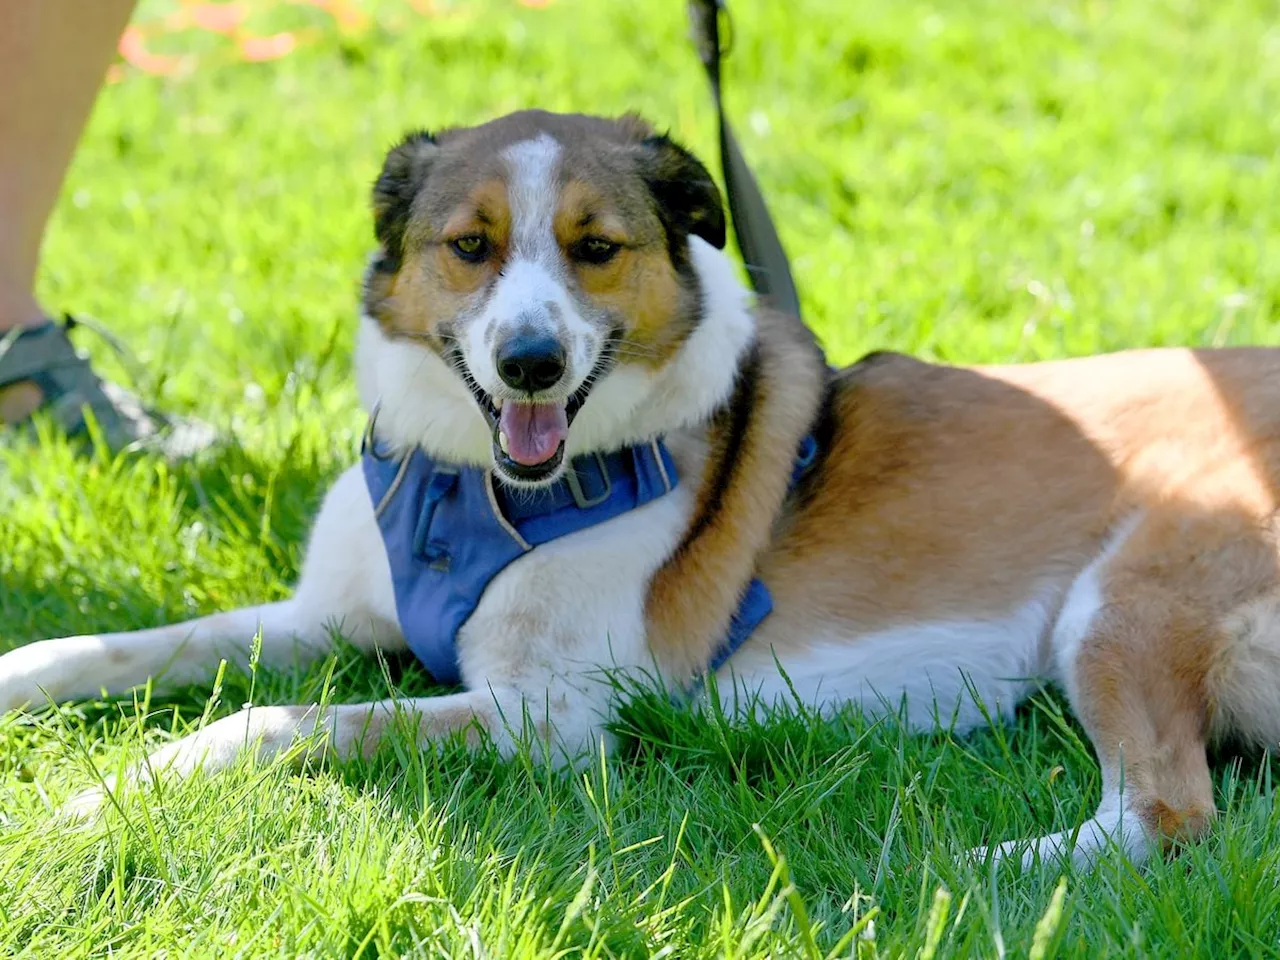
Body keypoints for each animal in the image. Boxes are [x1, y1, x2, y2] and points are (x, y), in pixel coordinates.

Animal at [2, 112, 1280, 870]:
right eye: (469, 246)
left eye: (596, 247)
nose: (530, 362)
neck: (474, 494)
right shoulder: (325, 620)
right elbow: (133, 646)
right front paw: (29, 682)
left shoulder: (548, 718)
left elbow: (275, 720)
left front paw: (119, 786)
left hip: (1124, 598)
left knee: (1165, 816)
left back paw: (958, 878)